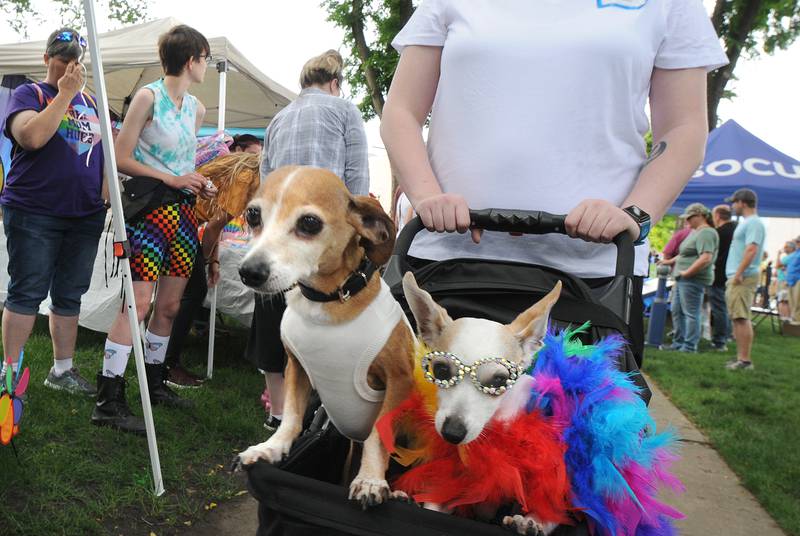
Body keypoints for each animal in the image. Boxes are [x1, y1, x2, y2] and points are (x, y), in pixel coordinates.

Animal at [234, 164, 416, 506]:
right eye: (253, 215)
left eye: (309, 223)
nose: (249, 272)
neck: (327, 301)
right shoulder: (295, 368)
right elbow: (292, 416)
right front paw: (271, 447)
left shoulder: (399, 380)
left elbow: (378, 436)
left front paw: (371, 479)